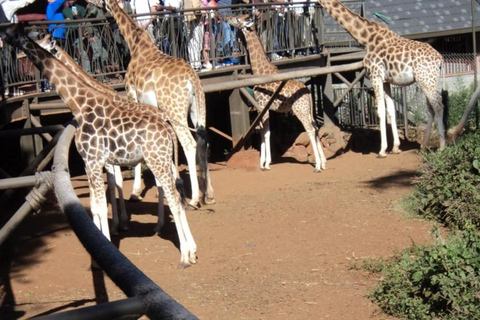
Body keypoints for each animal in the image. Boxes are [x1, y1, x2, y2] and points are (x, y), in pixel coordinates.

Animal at [5, 28, 197, 268]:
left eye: (18, 35)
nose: (5, 36)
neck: (79, 105)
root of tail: (167, 126)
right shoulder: (92, 163)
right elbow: (97, 205)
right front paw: (101, 250)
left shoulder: (95, 160)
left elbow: (102, 203)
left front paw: (106, 248)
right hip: (162, 159)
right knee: (176, 193)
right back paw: (188, 247)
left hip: (156, 159)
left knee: (173, 196)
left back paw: (184, 255)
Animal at [106, 0, 217, 208]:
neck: (135, 44)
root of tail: (193, 79)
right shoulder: (157, 111)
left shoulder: (133, 97)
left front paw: (135, 192)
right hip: (197, 108)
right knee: (203, 141)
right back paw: (209, 195)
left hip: (176, 110)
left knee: (189, 144)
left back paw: (194, 198)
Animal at [225, 14, 326, 171]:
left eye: (237, 19)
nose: (227, 18)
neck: (260, 71)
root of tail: (309, 92)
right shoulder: (262, 108)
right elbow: (262, 133)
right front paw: (262, 162)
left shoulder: (262, 106)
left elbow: (266, 133)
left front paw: (266, 163)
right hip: (308, 109)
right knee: (315, 127)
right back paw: (324, 162)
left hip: (300, 110)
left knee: (309, 129)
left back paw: (318, 166)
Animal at [316, 0, 444, 156]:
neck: (366, 38)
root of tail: (440, 59)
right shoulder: (386, 81)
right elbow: (391, 111)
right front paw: (395, 147)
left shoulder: (375, 75)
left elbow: (381, 111)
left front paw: (382, 150)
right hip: (428, 80)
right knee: (431, 108)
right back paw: (424, 146)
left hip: (426, 80)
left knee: (438, 106)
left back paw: (443, 147)